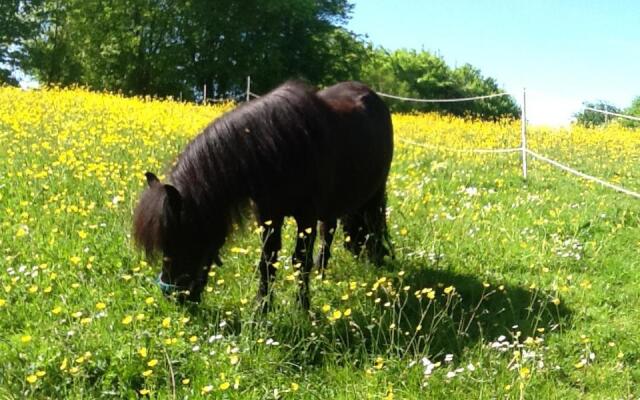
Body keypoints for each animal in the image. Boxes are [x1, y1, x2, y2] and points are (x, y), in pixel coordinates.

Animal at [132, 80, 392, 310]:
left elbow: (300, 261)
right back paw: (322, 273)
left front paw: (302, 308)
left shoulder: (305, 217)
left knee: (370, 225)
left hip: (374, 195)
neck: (282, 149)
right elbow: (268, 262)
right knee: (328, 231)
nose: (174, 297)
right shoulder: (269, 217)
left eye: (181, 238)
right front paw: (261, 310)